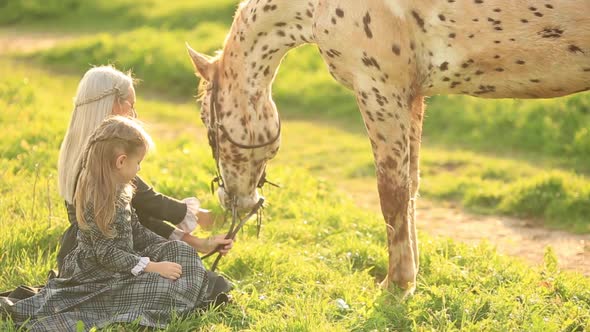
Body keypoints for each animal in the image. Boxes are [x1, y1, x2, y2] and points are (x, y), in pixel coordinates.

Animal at [186, 0, 590, 296]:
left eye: (209, 123)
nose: (230, 200)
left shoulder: (380, 91)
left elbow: (391, 192)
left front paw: (395, 284)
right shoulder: (413, 97)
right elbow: (410, 189)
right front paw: (410, 276)